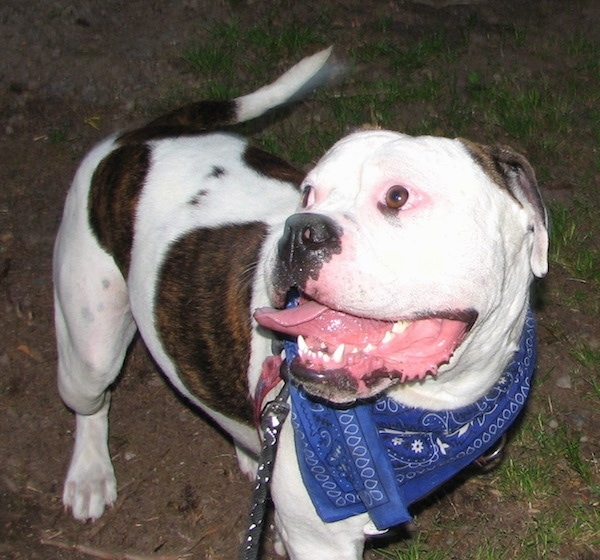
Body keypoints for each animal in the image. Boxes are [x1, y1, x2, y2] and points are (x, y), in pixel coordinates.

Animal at [55, 48, 548, 560]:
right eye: (308, 192)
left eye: (398, 196)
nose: (301, 228)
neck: (434, 413)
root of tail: (145, 134)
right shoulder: (322, 542)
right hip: (89, 349)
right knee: (91, 402)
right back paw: (89, 474)